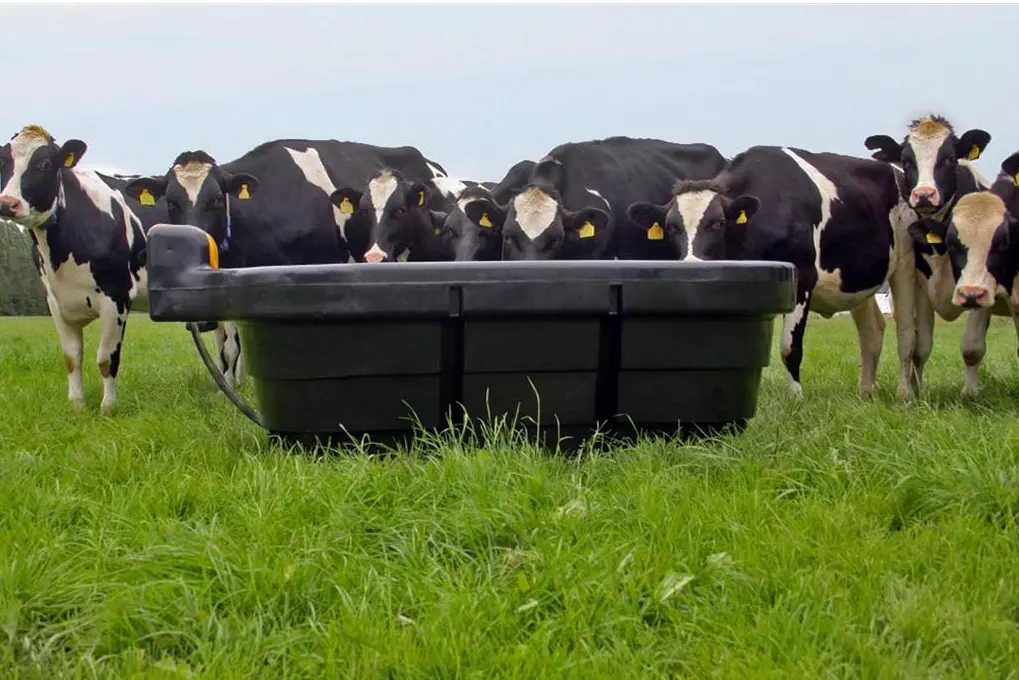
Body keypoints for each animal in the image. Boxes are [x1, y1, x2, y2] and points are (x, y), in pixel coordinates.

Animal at [0, 125, 155, 413]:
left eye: (45, 164)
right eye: (3, 161)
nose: (7, 203)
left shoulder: (116, 296)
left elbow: (106, 358)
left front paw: (108, 407)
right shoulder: (55, 300)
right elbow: (71, 356)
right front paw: (76, 404)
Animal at [625, 145, 920, 402]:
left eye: (718, 223)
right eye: (671, 227)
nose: (691, 264)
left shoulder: (802, 277)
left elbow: (790, 347)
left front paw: (796, 399)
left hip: (906, 265)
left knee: (906, 333)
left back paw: (904, 395)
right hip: (856, 281)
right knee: (872, 332)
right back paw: (865, 394)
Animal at [863, 115, 1012, 396]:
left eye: (949, 158)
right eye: (906, 161)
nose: (924, 194)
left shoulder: (980, 287)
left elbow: (972, 346)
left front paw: (970, 393)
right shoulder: (922, 287)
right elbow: (921, 346)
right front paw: (916, 391)